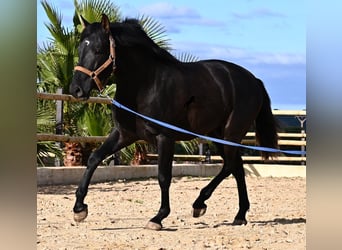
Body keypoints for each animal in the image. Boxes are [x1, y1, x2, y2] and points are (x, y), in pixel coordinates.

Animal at [69, 14, 278, 230]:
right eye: (80, 48)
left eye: (98, 49)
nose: (76, 89)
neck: (145, 84)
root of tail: (254, 80)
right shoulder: (124, 134)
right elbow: (94, 158)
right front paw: (79, 209)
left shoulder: (164, 137)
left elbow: (163, 176)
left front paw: (158, 217)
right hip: (216, 135)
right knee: (236, 167)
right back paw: (239, 214)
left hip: (231, 133)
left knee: (230, 165)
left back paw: (200, 203)